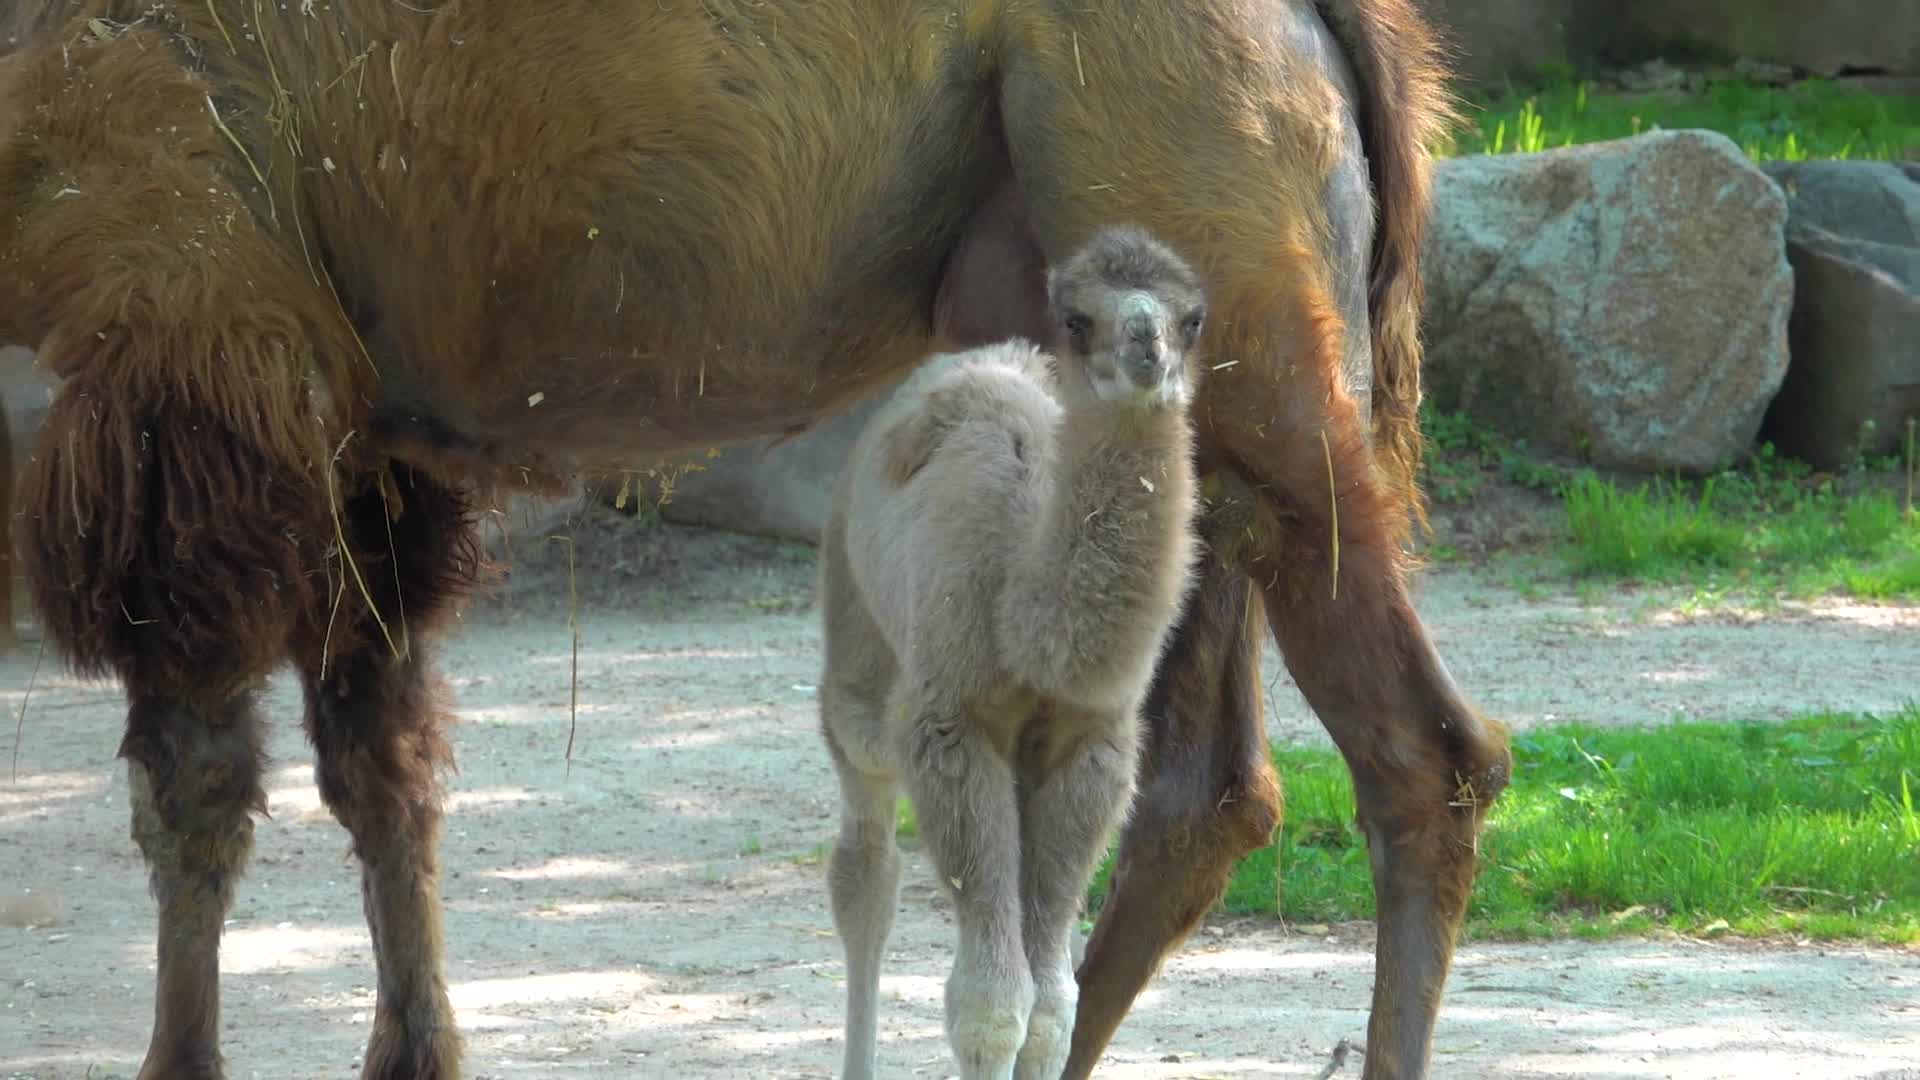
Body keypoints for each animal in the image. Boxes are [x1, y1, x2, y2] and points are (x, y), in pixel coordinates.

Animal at [821, 226, 1208, 1080]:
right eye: (1076, 317)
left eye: (1192, 318)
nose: (1146, 346)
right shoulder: (952, 727)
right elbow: (990, 1004)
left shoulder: (1092, 744)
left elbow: (1053, 1004)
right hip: (856, 635)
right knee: (865, 862)